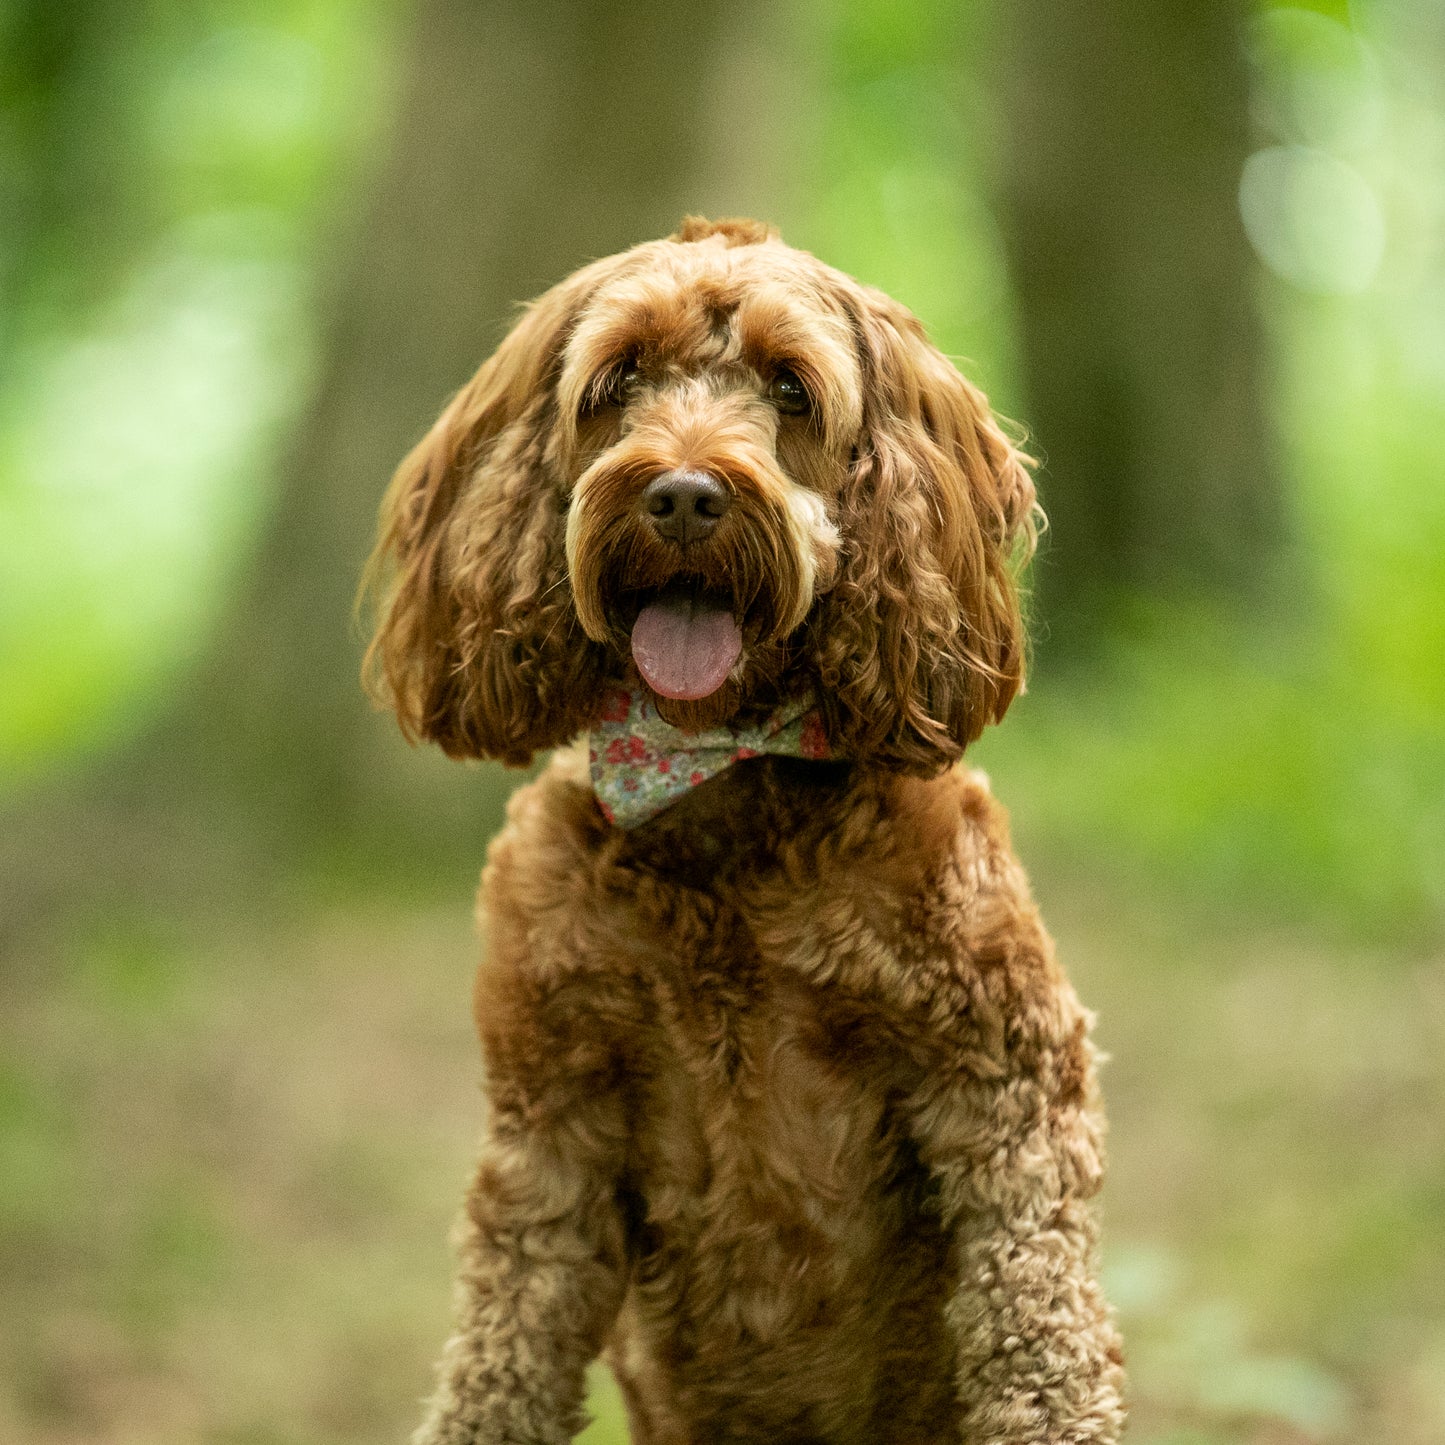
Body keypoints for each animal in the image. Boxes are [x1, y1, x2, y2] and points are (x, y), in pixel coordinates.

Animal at [364, 216, 1127, 1445]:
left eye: (789, 388)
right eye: (617, 378)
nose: (681, 495)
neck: (713, 793)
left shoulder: (1004, 1085)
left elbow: (1038, 1326)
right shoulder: (549, 1126)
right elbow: (501, 1351)